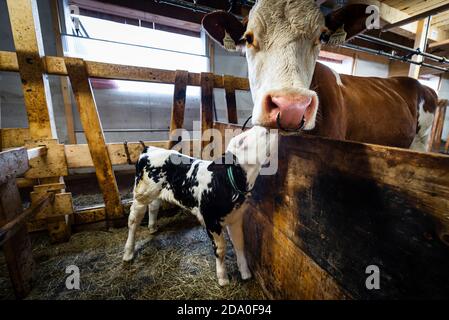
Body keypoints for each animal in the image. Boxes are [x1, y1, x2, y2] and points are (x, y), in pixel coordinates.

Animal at [123, 125, 276, 284]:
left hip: (156, 193)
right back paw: (128, 253)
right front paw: (223, 278)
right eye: (241, 141)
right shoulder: (211, 220)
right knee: (133, 220)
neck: (224, 181)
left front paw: (245, 273)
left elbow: (239, 243)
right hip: (141, 194)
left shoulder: (236, 217)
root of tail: (149, 149)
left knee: (153, 207)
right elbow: (220, 248)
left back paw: (152, 228)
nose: (265, 128)